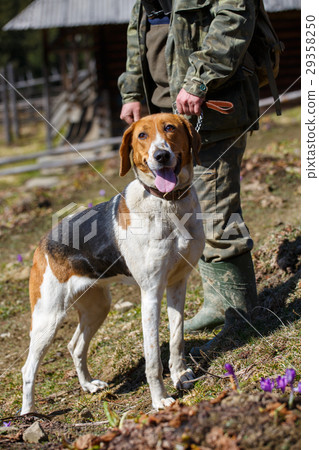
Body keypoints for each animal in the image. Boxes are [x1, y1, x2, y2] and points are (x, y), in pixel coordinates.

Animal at [21, 113, 205, 414]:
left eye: (170, 128)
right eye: (142, 135)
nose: (161, 156)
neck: (167, 204)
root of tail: (42, 242)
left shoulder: (178, 283)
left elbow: (177, 339)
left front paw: (180, 376)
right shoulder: (151, 293)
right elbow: (152, 359)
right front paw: (160, 399)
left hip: (97, 305)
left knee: (74, 346)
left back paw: (88, 385)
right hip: (47, 319)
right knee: (28, 369)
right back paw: (28, 415)